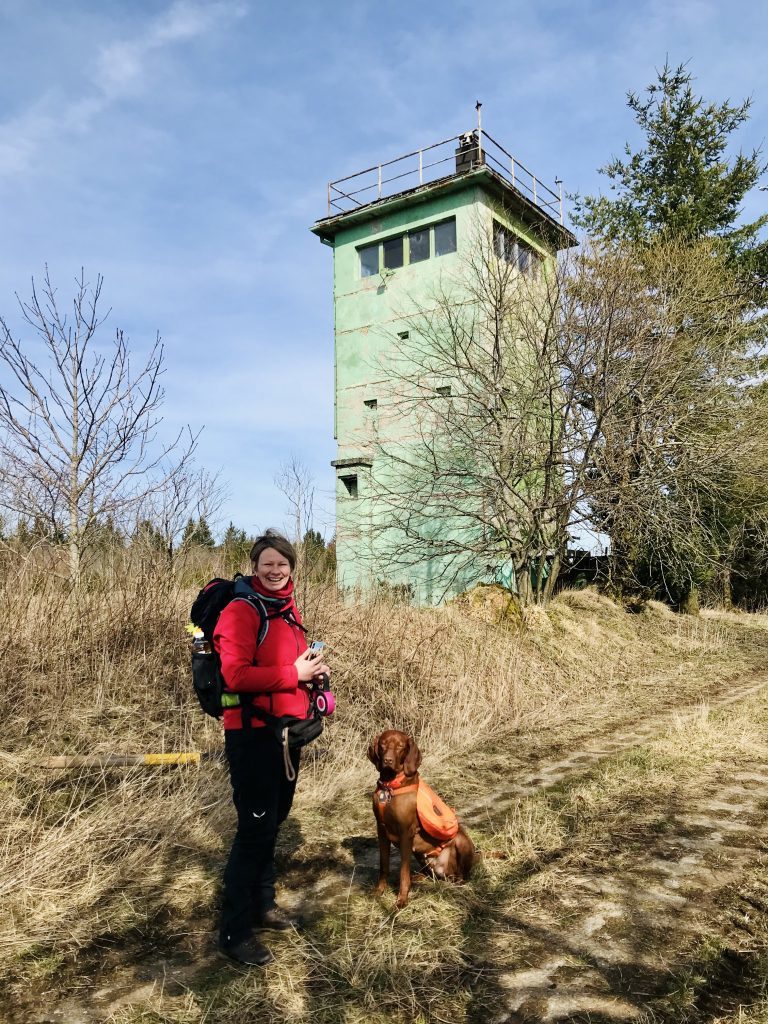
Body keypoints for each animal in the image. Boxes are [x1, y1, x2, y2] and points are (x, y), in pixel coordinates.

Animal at [368, 729, 475, 905]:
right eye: (383, 744)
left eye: (400, 746)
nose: (387, 760)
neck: (390, 786)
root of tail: (444, 871)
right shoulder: (381, 829)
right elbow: (384, 865)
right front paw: (379, 891)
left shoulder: (406, 833)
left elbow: (403, 871)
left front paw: (402, 899)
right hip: (420, 855)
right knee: (431, 875)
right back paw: (419, 878)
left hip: (461, 842)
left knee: (462, 876)